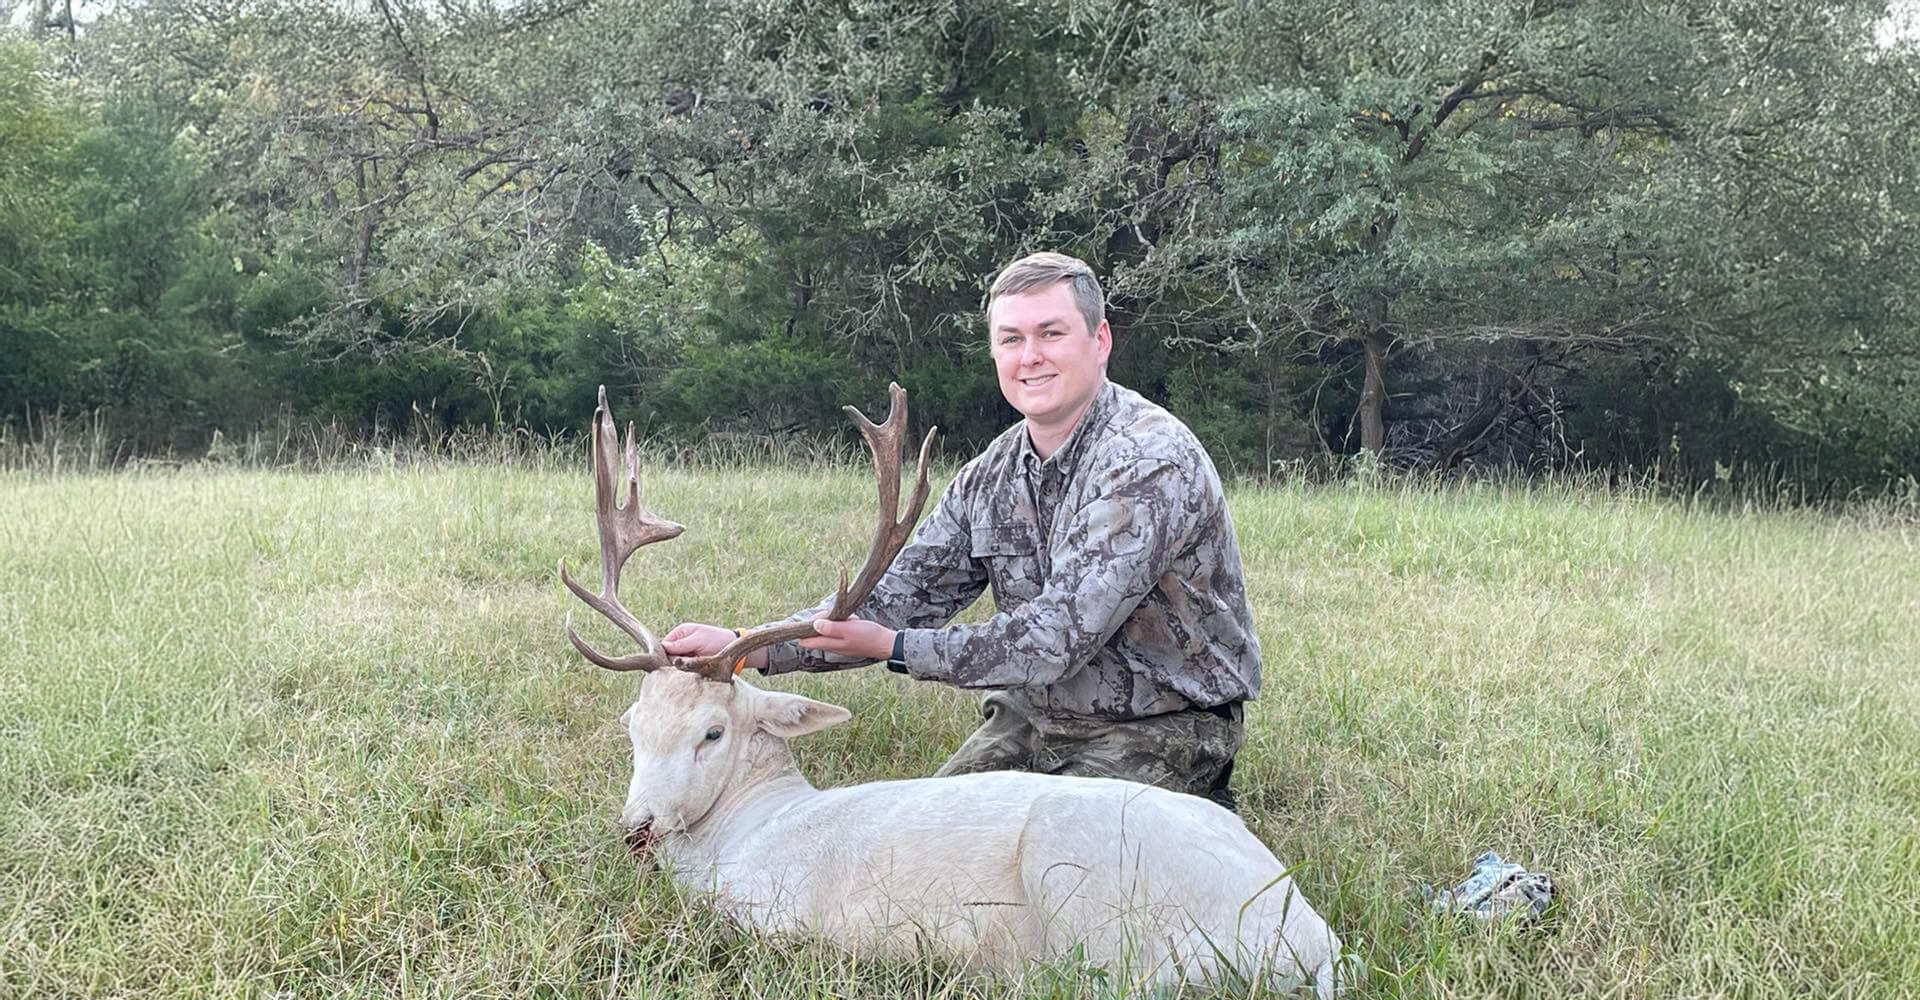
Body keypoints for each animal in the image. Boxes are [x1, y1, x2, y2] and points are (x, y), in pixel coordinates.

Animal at [558, 384, 1360, 996]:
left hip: (1092, 889)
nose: (637, 827)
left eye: (713, 732)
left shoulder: (778, 912)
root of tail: (1312, 942)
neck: (748, 833)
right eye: (633, 726)